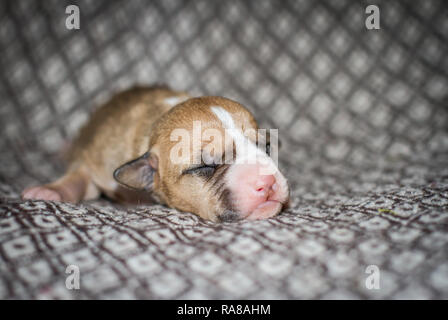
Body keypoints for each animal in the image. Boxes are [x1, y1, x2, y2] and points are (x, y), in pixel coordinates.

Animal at [22, 86, 290, 221]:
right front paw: (49, 191)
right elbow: (79, 176)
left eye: (266, 146)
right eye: (204, 166)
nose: (267, 181)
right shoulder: (96, 162)